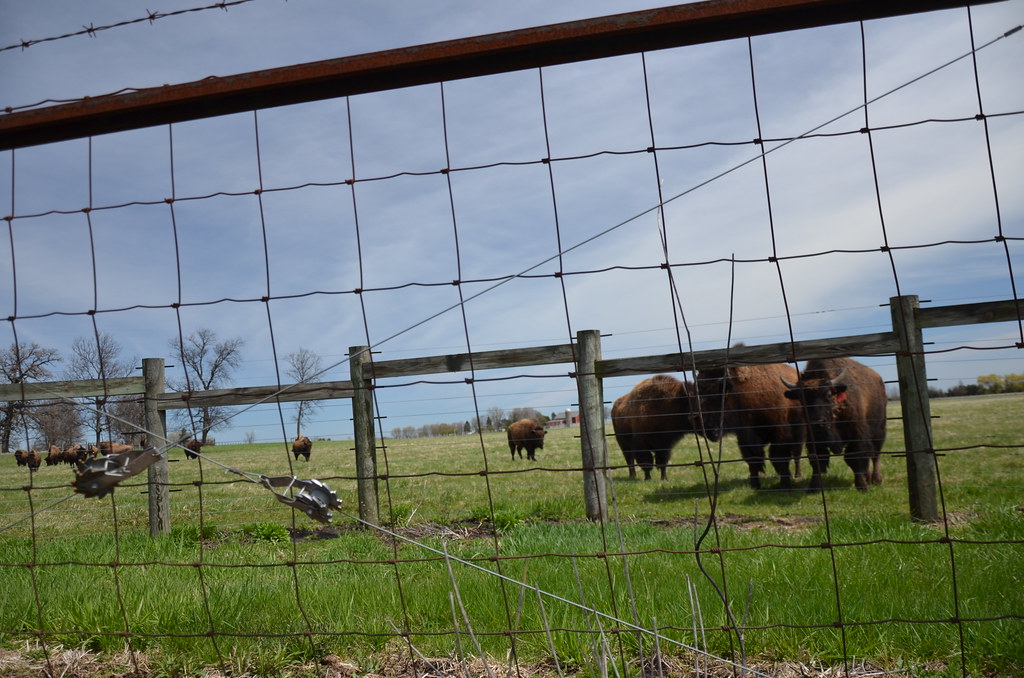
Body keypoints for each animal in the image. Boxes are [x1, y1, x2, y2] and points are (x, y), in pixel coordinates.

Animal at [782, 357, 886, 492]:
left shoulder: (857, 435)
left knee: (875, 454)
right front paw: (813, 488)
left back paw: (876, 479)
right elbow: (818, 462)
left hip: (879, 430)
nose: (818, 423)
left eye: (828, 394)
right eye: (802, 399)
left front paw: (861, 486)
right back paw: (868, 477)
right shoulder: (814, 440)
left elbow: (855, 458)